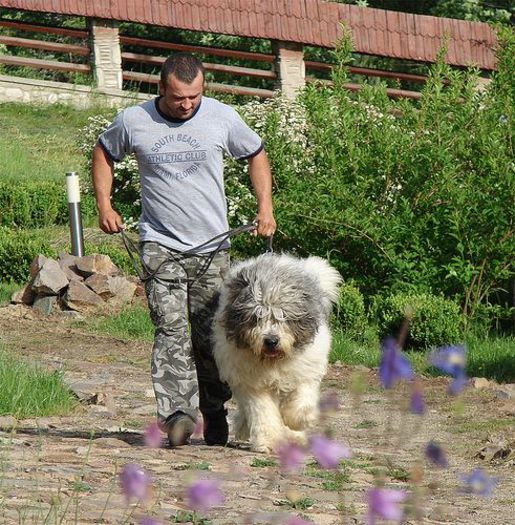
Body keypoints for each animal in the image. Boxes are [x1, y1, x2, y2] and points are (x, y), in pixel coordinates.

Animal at [214, 253, 342, 450]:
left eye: (283, 316)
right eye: (256, 318)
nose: (271, 341)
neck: (273, 361)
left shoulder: (306, 371)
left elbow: (300, 402)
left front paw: (297, 421)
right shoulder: (251, 383)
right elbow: (263, 412)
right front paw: (269, 441)